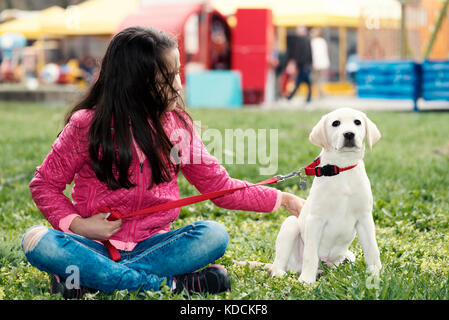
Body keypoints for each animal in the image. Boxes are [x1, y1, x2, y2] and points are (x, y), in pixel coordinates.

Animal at [270, 107, 382, 284]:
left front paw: (375, 274)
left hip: (345, 256)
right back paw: (279, 273)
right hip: (291, 225)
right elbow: (310, 254)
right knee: (279, 261)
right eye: (335, 123)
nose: (349, 134)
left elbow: (372, 249)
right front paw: (306, 281)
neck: (342, 169)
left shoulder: (364, 218)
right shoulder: (315, 219)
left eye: (357, 122)